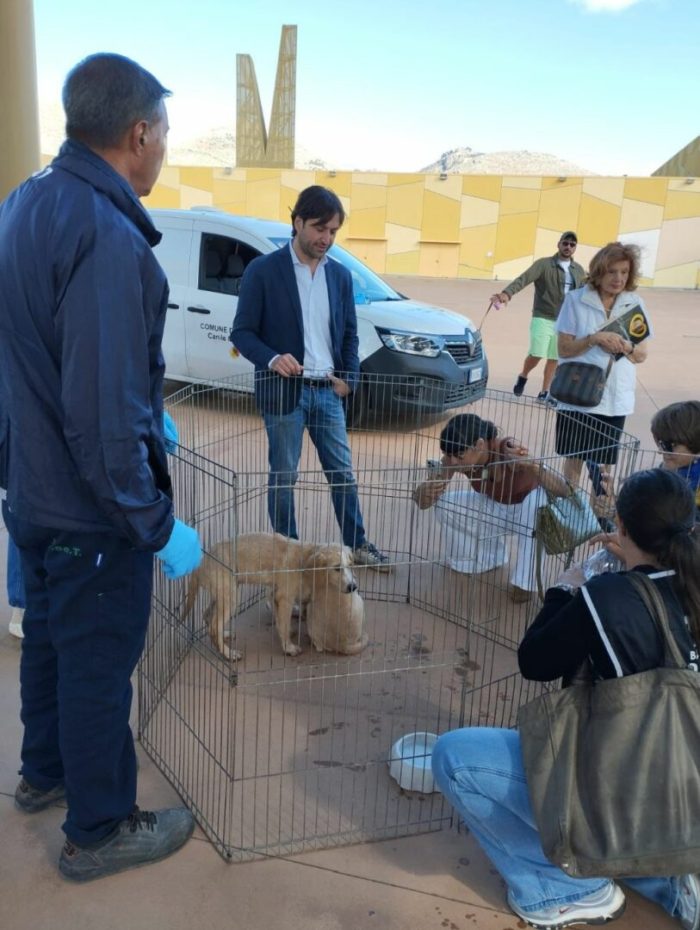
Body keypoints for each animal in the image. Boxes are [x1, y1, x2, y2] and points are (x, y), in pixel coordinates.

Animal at [182, 532, 356, 656]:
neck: (305, 563)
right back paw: (228, 654)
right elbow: (284, 624)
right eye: (336, 568)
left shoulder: (274, 592)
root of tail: (202, 560)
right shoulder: (284, 597)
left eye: (349, 565)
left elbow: (283, 620)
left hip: (222, 593)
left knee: (208, 617)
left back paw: (223, 636)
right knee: (213, 625)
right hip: (230, 597)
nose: (353, 587)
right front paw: (289, 648)